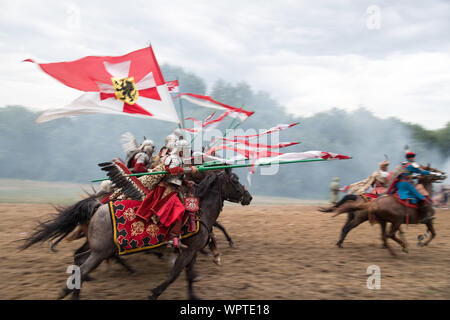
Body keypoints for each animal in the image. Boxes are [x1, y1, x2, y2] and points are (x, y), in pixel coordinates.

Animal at [21, 170, 251, 300]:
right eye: (235, 180)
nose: (248, 197)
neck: (199, 210)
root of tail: (97, 206)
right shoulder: (188, 251)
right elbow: (174, 274)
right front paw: (154, 293)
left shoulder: (191, 250)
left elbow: (188, 276)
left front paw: (193, 296)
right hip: (100, 252)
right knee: (82, 269)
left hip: (98, 249)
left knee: (79, 262)